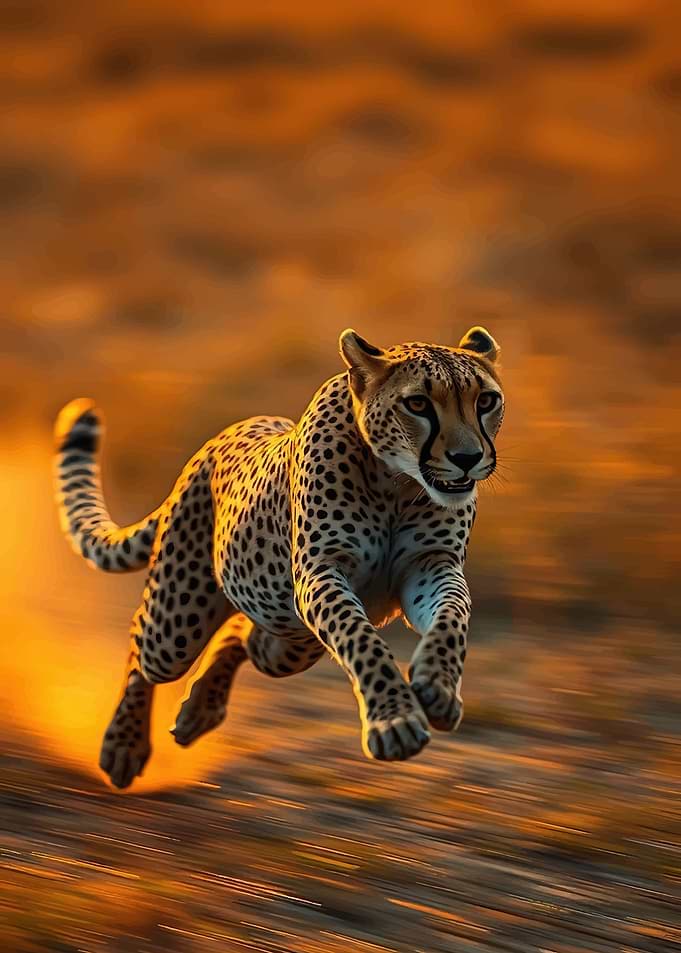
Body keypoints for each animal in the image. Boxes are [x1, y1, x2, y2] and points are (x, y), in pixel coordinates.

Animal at [54, 326, 504, 788]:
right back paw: (123, 746)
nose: (467, 458)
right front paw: (394, 722)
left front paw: (438, 685)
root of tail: (211, 445)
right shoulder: (321, 573)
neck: (396, 481)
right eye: (417, 404)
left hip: (289, 638)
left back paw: (200, 710)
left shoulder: (431, 566)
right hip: (177, 628)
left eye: (486, 401)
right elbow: (361, 639)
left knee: (245, 635)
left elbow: (452, 617)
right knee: (141, 647)